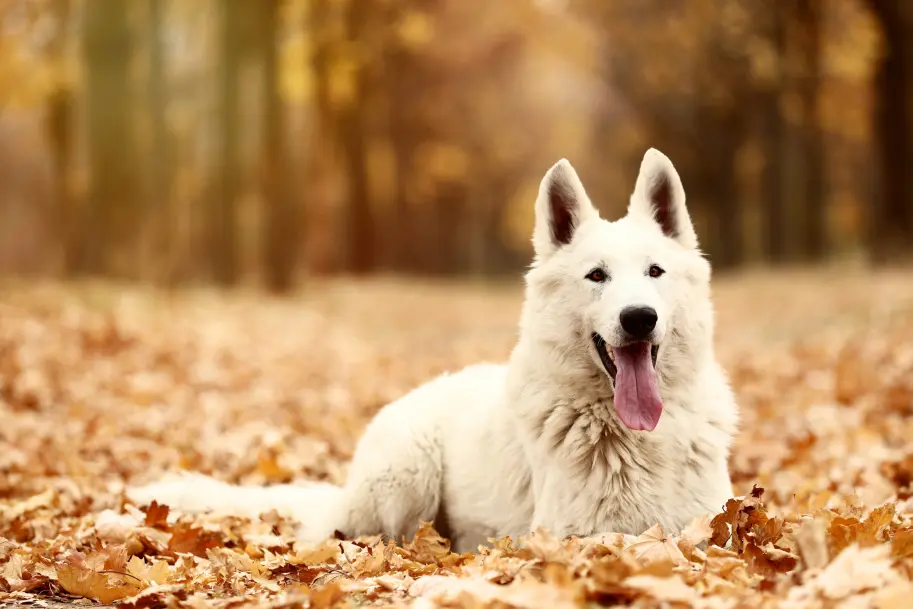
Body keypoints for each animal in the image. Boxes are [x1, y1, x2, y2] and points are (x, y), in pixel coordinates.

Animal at [130, 147, 740, 552]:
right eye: (597, 276)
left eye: (655, 272)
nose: (639, 318)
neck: (639, 438)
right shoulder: (577, 537)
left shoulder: (713, 527)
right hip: (407, 477)